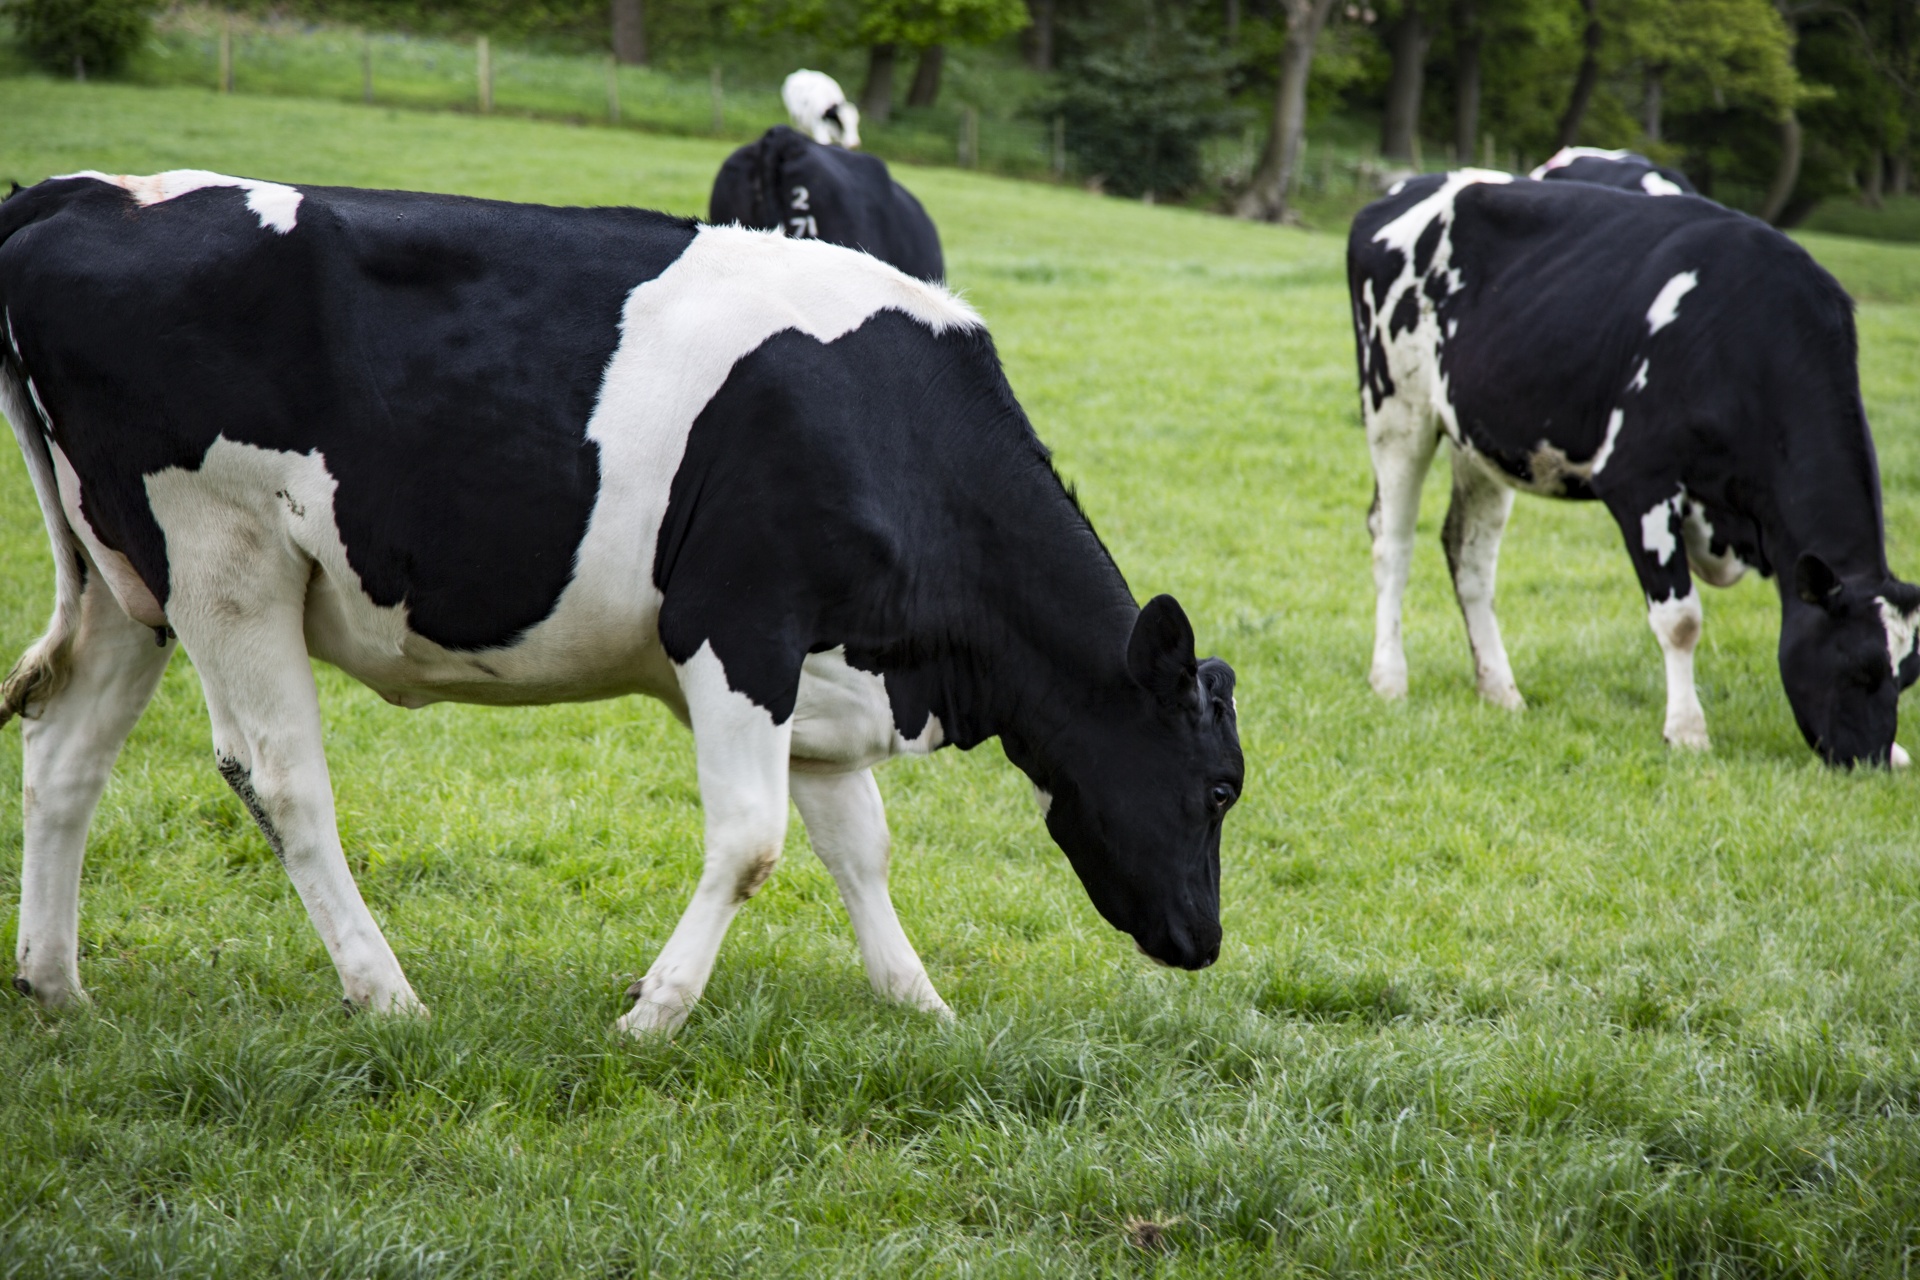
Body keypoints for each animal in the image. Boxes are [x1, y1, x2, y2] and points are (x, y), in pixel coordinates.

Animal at [0, 169, 1244, 1028]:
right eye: (1220, 785)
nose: (1204, 941)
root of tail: (90, 193)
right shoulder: (739, 627)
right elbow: (752, 840)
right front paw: (655, 1011)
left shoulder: (819, 672)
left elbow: (860, 844)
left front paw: (917, 1000)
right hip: (226, 552)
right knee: (281, 780)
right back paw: (388, 994)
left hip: (127, 578)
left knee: (67, 754)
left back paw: (57, 984)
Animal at [1351, 171, 1920, 771]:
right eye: (1857, 668)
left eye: (1906, 678)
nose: (1871, 761)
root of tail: (1413, 185)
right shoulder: (1638, 481)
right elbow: (1681, 619)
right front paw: (1687, 731)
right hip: (1397, 412)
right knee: (1392, 544)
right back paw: (1390, 677)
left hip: (1479, 438)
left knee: (1470, 555)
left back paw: (1500, 689)